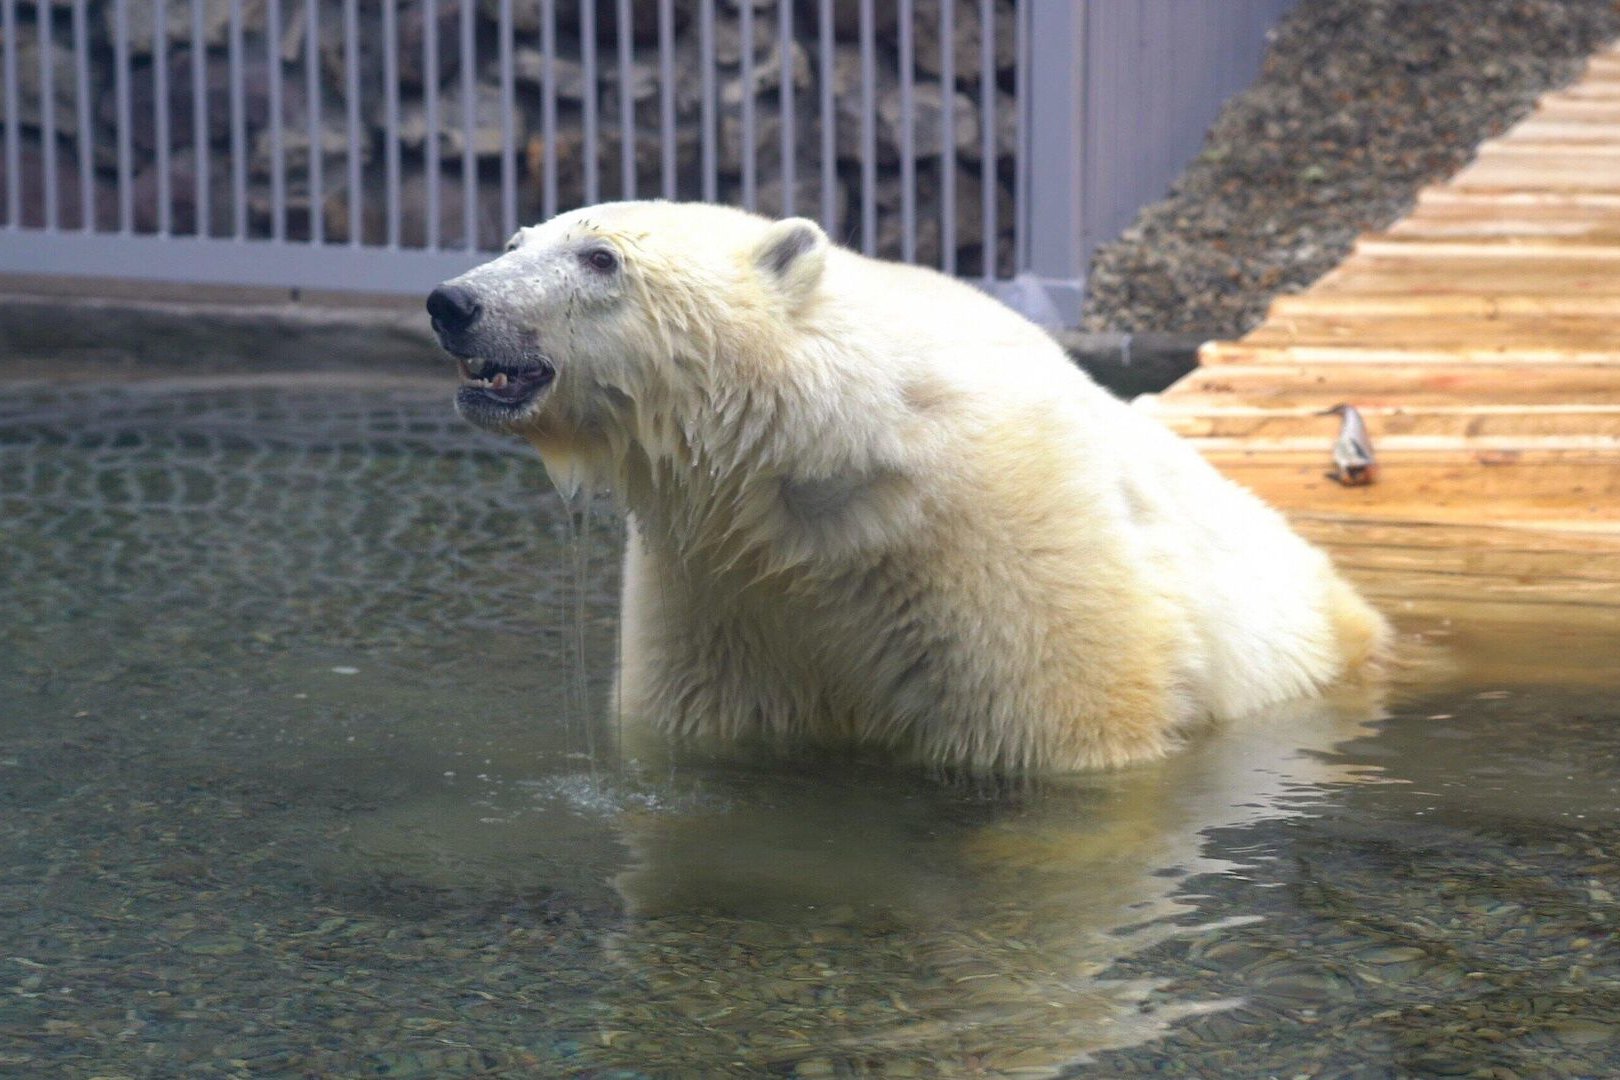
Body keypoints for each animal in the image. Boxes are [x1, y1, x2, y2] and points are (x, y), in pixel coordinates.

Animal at [424, 200, 1386, 777]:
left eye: (600, 257)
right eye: (515, 243)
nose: (454, 303)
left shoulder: (1008, 536)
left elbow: (1066, 718)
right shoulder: (718, 580)